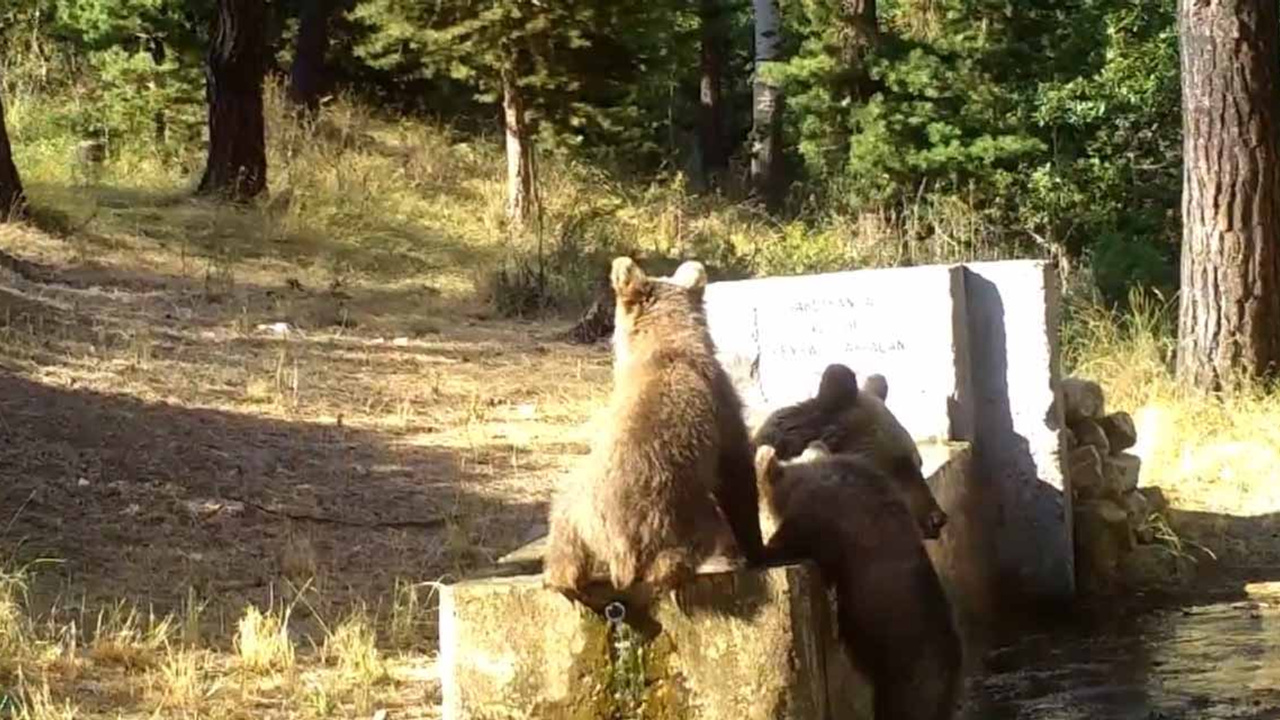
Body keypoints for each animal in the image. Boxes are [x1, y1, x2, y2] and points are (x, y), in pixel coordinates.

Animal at [537, 254, 757, 607]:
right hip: (675, 514)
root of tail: (620, 553)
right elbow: (737, 473)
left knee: (564, 547)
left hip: (575, 513)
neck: (666, 344)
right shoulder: (724, 409)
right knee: (688, 546)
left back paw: (563, 584)